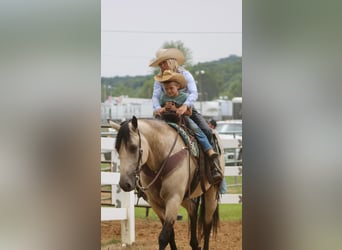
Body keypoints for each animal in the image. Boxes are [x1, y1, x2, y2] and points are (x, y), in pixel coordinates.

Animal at [110, 116, 224, 249]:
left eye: (133, 147)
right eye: (117, 149)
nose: (124, 184)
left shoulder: (173, 199)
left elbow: (164, 237)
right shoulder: (155, 203)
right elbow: (170, 235)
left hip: (211, 193)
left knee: (207, 225)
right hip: (185, 197)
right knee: (193, 210)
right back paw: (195, 244)